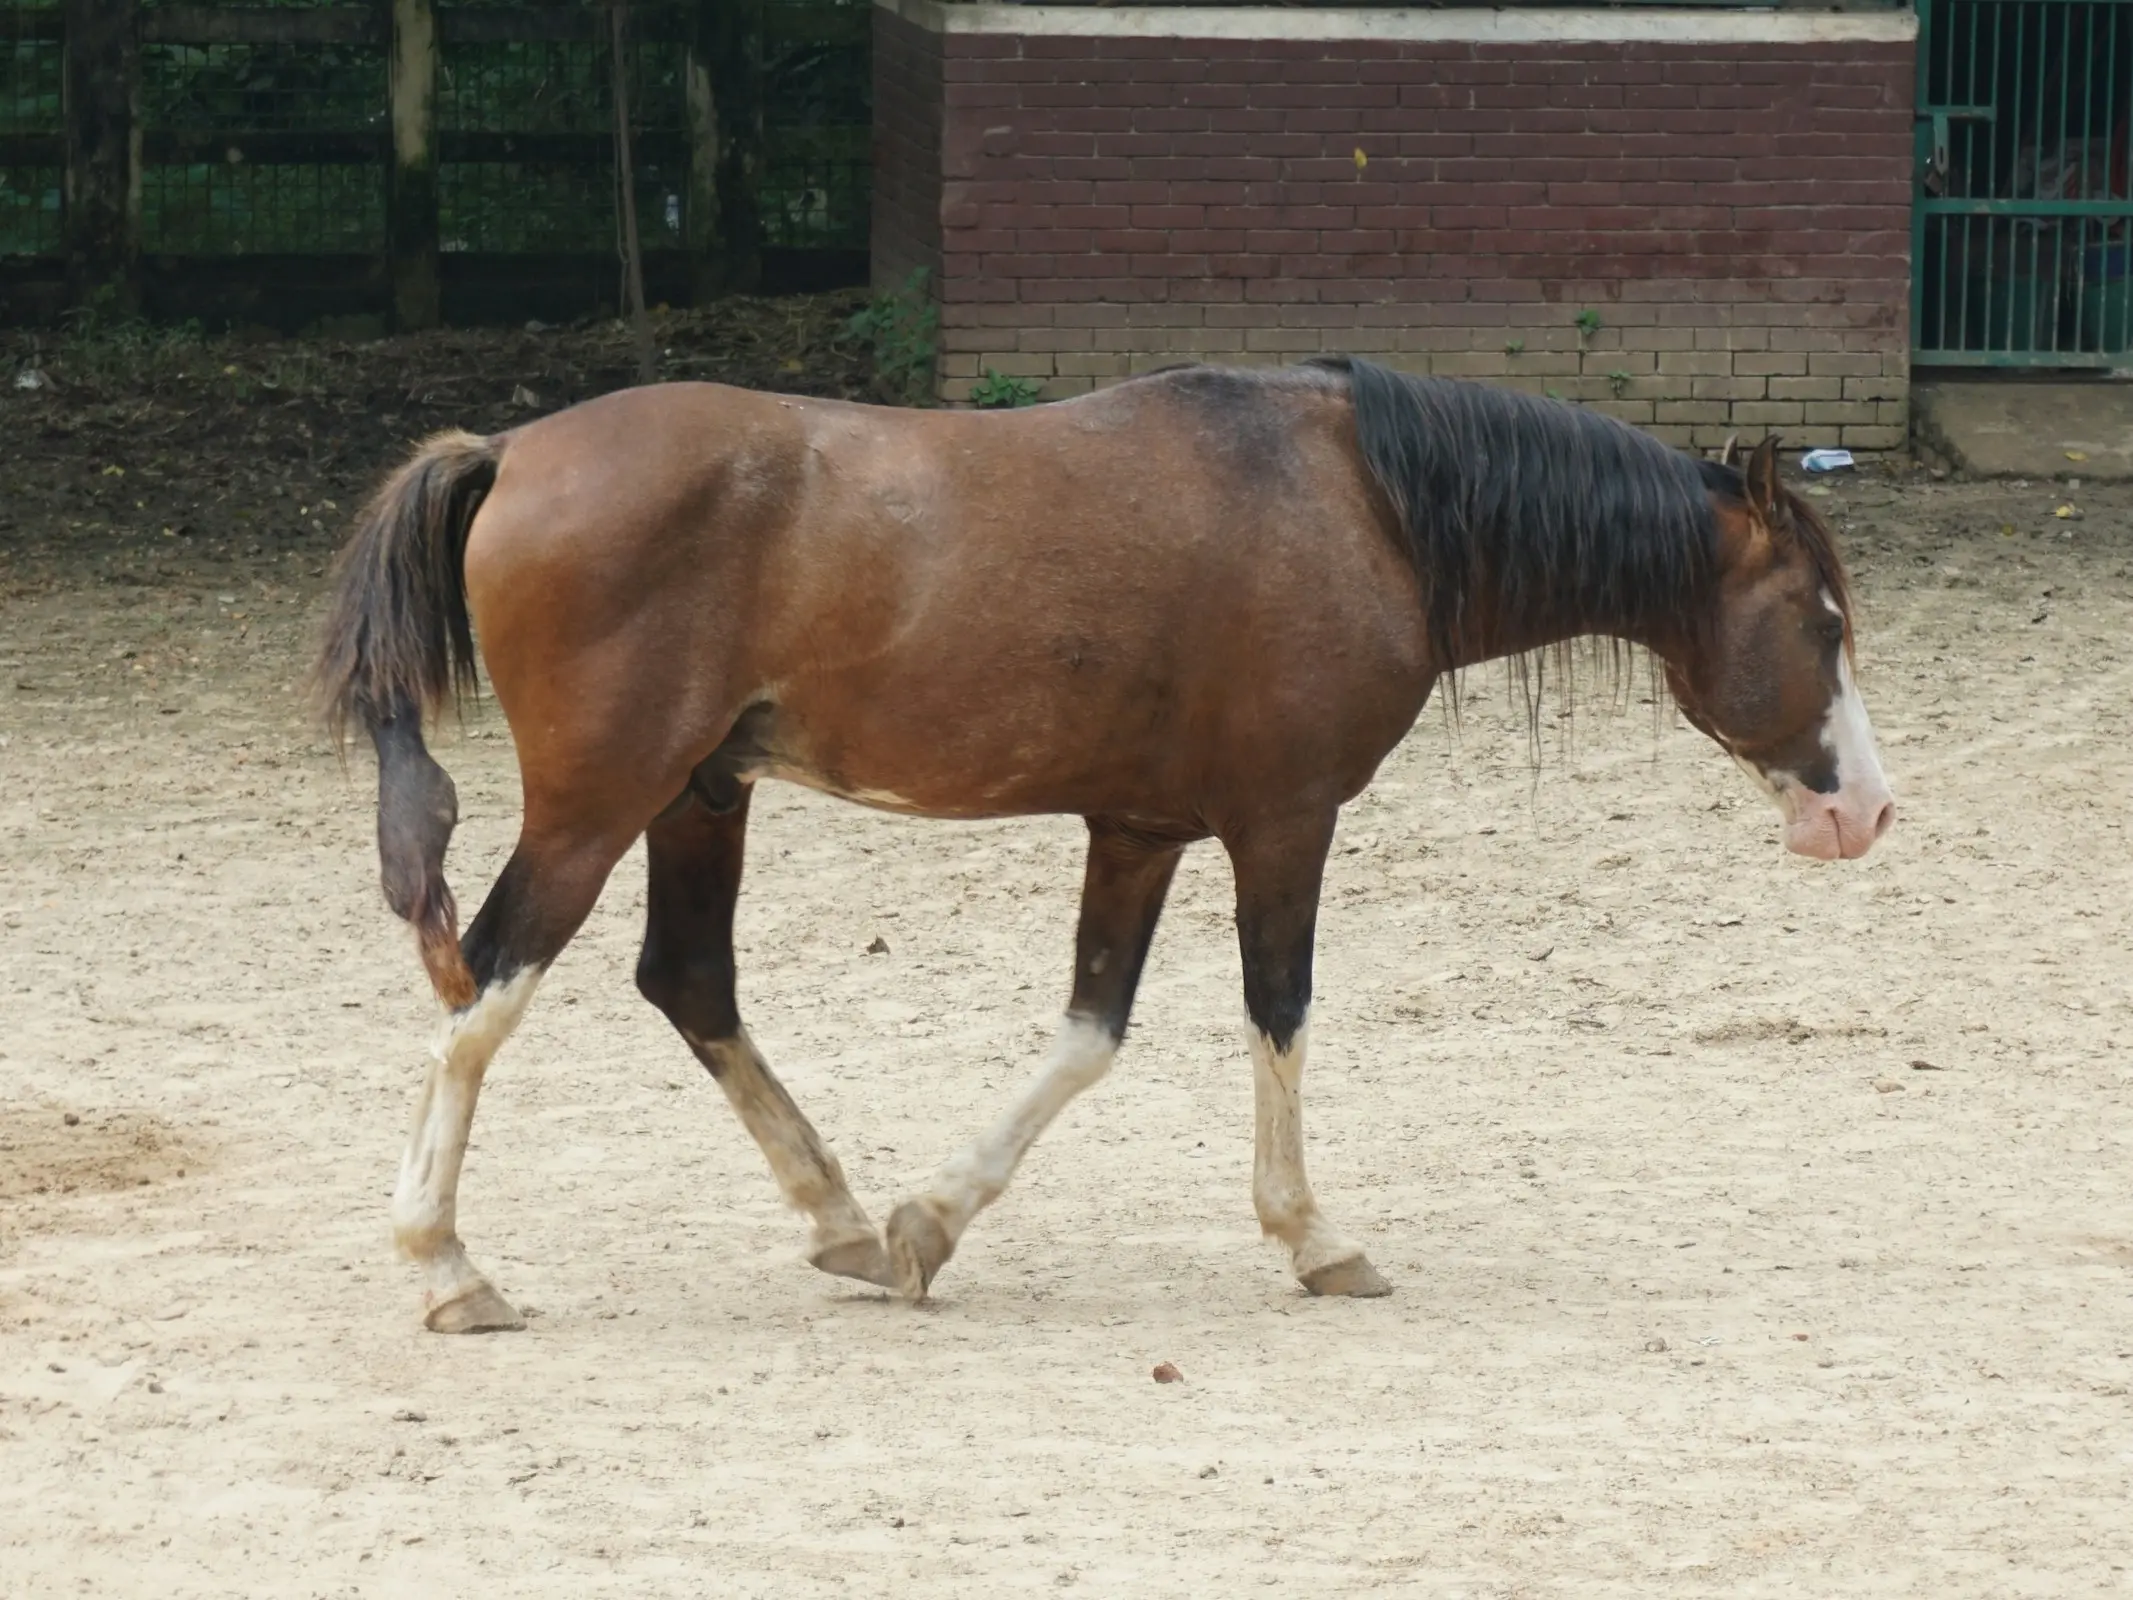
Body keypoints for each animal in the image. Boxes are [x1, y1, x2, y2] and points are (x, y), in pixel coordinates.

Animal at [315, 362, 1902, 1339]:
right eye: (1820, 618)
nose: (1866, 810)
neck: (1367, 507)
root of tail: (509, 451)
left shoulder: (1140, 831)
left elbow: (1090, 1031)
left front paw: (926, 1223)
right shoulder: (1284, 822)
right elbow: (1277, 1012)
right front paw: (1313, 1237)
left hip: (701, 800)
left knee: (688, 983)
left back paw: (838, 1218)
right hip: (598, 810)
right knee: (485, 988)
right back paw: (446, 1265)